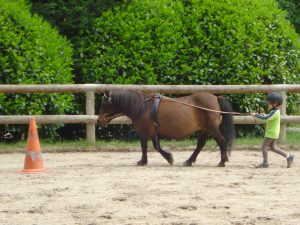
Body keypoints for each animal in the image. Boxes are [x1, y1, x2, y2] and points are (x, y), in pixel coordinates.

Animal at [97, 89, 236, 166]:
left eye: (105, 104)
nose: (99, 120)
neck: (142, 107)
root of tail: (216, 97)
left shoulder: (143, 132)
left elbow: (145, 146)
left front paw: (142, 161)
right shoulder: (153, 131)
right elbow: (156, 146)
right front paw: (169, 157)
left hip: (212, 128)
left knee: (221, 141)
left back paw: (222, 161)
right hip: (204, 129)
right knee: (200, 145)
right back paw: (189, 161)